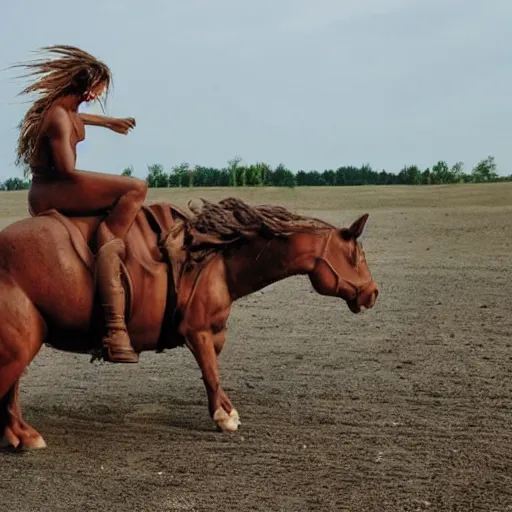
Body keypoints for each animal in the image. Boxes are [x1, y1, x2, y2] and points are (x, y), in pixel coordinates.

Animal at [0, 196, 376, 448]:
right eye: (357, 255)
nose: (373, 292)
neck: (218, 261)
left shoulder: (212, 334)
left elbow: (212, 371)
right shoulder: (198, 331)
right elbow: (210, 372)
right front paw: (225, 417)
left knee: (11, 389)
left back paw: (20, 434)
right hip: (21, 342)